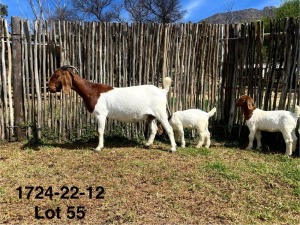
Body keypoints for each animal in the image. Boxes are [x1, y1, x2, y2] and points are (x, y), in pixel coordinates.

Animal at [48, 66, 177, 152]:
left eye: (57, 75)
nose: (49, 88)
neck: (91, 90)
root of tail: (162, 91)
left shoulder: (101, 114)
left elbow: (100, 131)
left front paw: (98, 148)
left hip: (160, 113)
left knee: (169, 129)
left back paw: (172, 148)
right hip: (151, 115)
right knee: (154, 129)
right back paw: (148, 145)